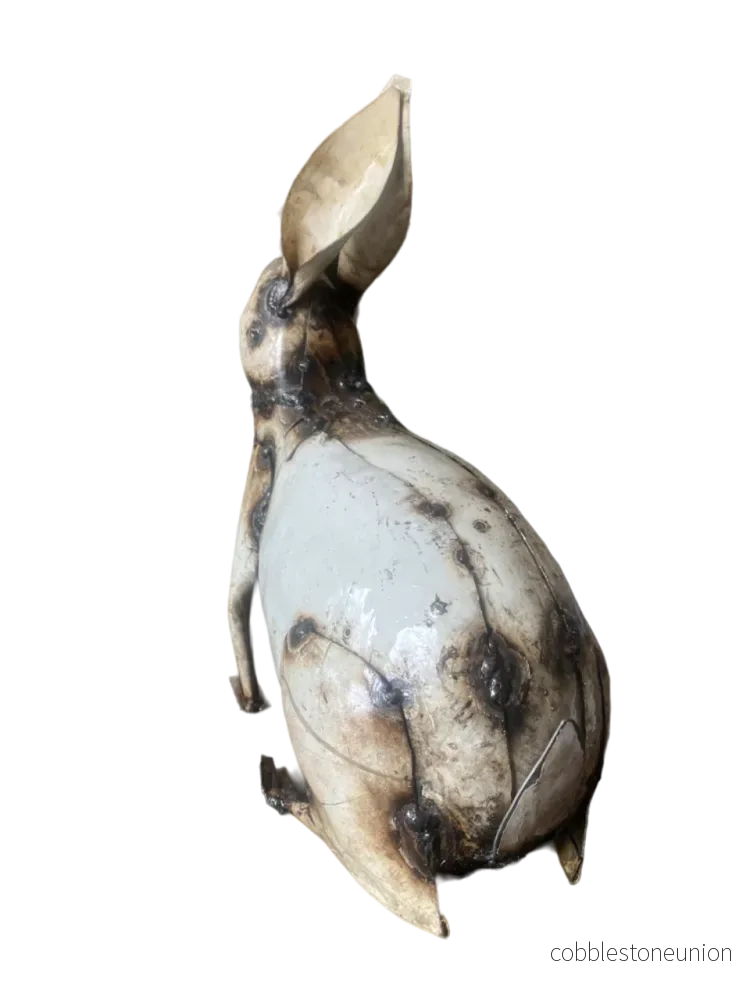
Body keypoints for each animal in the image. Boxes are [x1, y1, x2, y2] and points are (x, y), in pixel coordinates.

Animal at [229, 79, 608, 939]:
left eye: (257, 311)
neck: (327, 393)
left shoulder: (253, 500)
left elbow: (233, 593)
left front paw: (242, 698)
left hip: (340, 730)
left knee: (405, 889)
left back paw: (279, 785)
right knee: (573, 849)